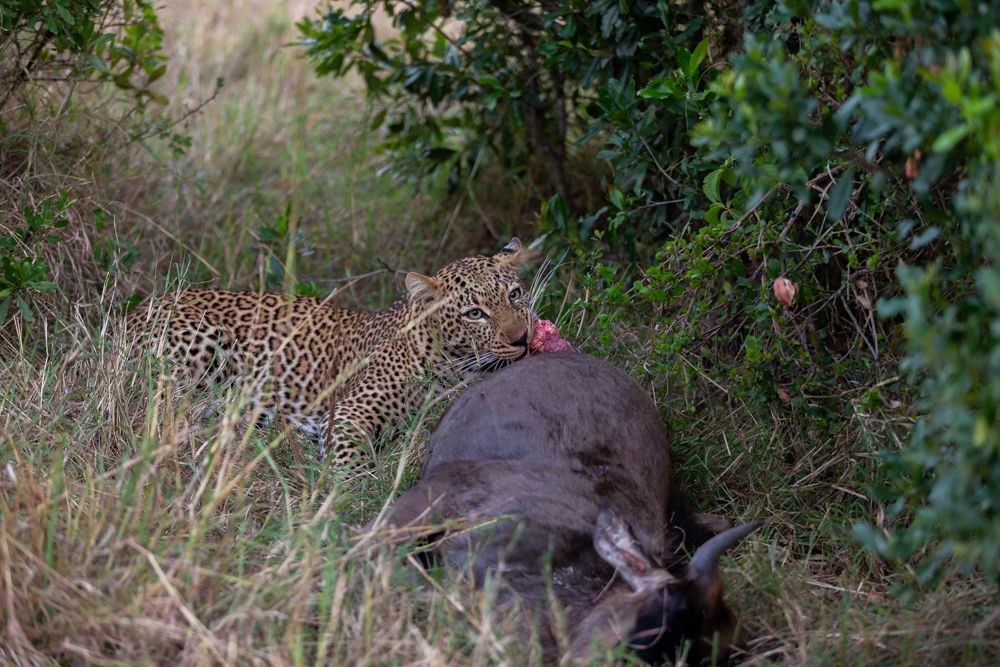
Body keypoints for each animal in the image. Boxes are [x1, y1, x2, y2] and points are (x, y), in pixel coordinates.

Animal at [125, 238, 535, 465]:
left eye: (515, 295)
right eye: (475, 313)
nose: (523, 338)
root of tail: (135, 311)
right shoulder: (349, 413)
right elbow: (352, 465)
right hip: (199, 349)